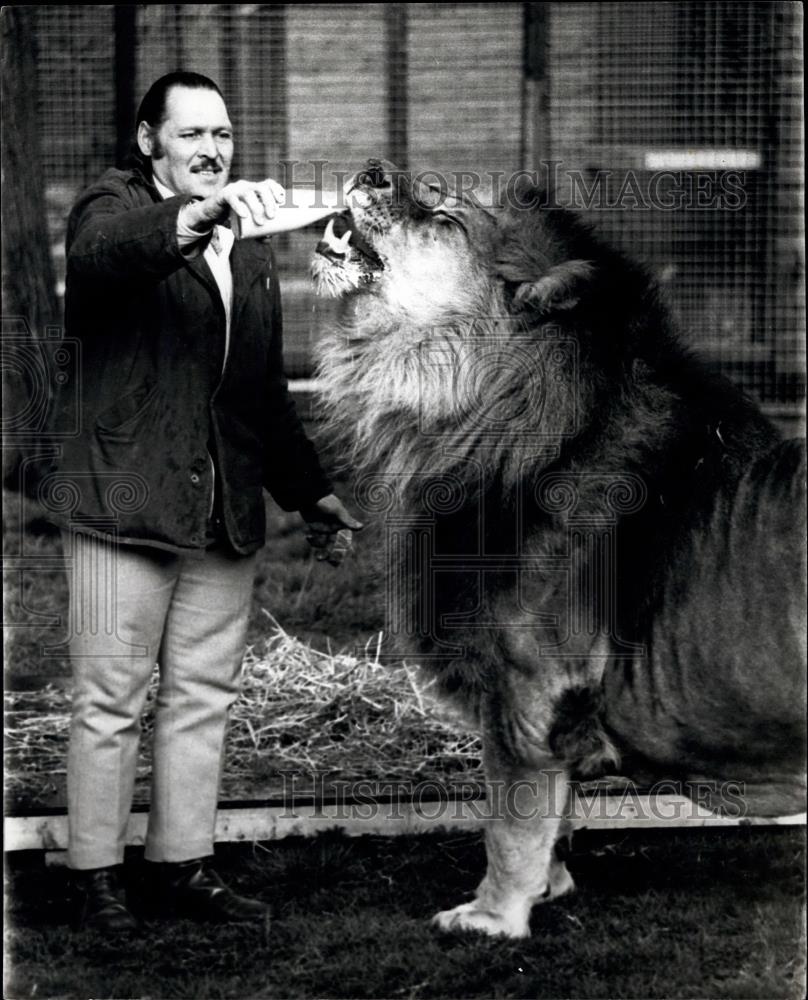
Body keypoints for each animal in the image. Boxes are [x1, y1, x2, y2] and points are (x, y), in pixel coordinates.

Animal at [308, 158, 800, 936]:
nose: (372, 170)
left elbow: (510, 822)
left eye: (447, 215)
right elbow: (556, 814)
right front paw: (549, 887)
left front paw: (490, 917)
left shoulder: (527, 683)